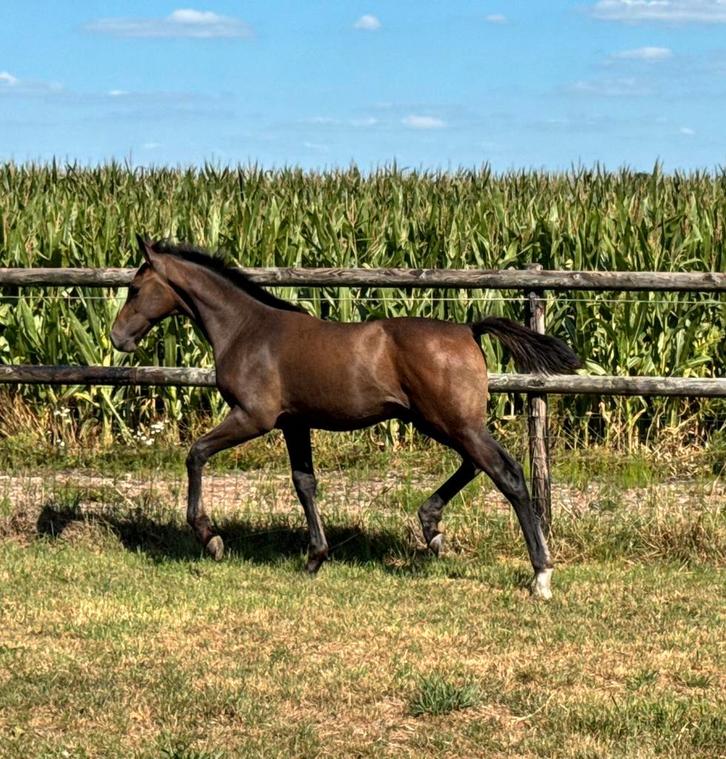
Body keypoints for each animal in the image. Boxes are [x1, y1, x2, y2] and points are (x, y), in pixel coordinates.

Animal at [111, 236, 581, 598]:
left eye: (134, 288)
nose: (117, 338)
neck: (247, 329)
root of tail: (469, 330)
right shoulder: (294, 423)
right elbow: (304, 483)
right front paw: (315, 558)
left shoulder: (253, 417)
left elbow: (196, 454)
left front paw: (210, 538)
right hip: (443, 422)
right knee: (477, 465)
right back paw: (432, 528)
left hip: (454, 423)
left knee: (507, 474)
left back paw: (540, 574)